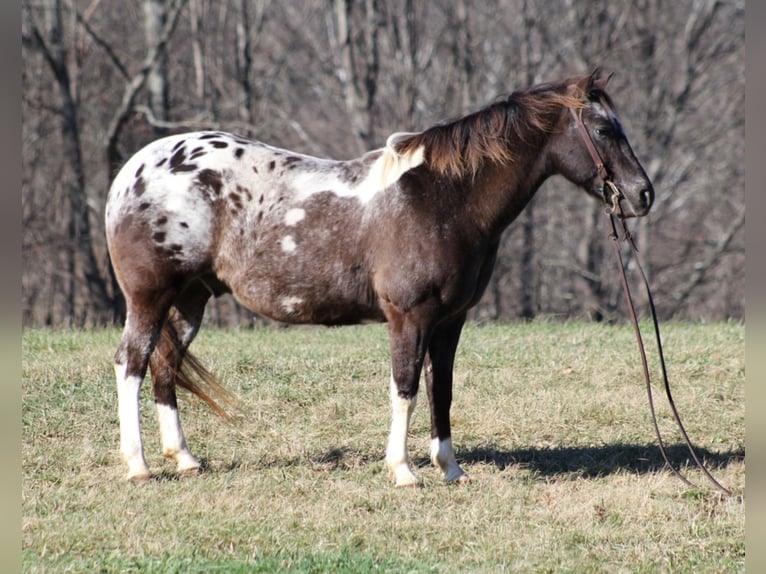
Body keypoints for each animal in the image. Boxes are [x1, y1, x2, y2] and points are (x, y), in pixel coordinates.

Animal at [105, 71, 656, 486]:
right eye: (604, 131)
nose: (643, 194)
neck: (443, 198)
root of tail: (131, 173)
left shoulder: (449, 321)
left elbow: (441, 389)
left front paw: (450, 469)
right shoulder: (409, 317)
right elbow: (405, 387)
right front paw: (404, 470)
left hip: (189, 300)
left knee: (165, 365)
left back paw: (185, 459)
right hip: (150, 297)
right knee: (132, 364)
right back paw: (139, 466)